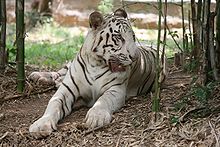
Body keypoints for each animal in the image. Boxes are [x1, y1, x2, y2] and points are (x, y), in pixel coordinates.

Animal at [28, 8, 167, 138]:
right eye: (119, 37)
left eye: (133, 37)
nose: (136, 57)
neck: (96, 64)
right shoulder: (66, 90)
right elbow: (53, 104)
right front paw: (41, 125)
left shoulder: (115, 90)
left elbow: (103, 100)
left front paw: (96, 117)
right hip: (68, 65)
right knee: (60, 71)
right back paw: (38, 76)